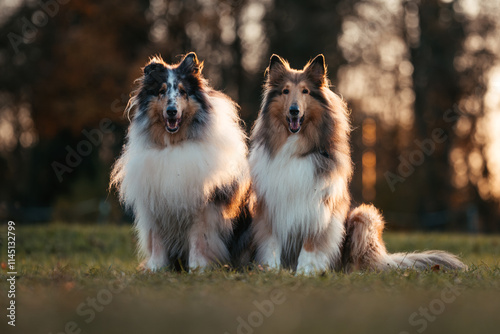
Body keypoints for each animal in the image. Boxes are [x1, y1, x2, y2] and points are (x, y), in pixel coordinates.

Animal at [109, 52, 250, 272]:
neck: (173, 146)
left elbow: (198, 240)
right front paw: (156, 268)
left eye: (183, 92)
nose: (171, 111)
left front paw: (197, 268)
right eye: (161, 91)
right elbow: (157, 240)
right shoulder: (155, 202)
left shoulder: (201, 207)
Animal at [248, 54, 466, 274]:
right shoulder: (270, 208)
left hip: (364, 215)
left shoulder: (318, 208)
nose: (294, 111)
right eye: (285, 91)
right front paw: (271, 270)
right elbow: (271, 243)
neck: (296, 147)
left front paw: (305, 273)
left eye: (305, 91)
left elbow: (311, 245)